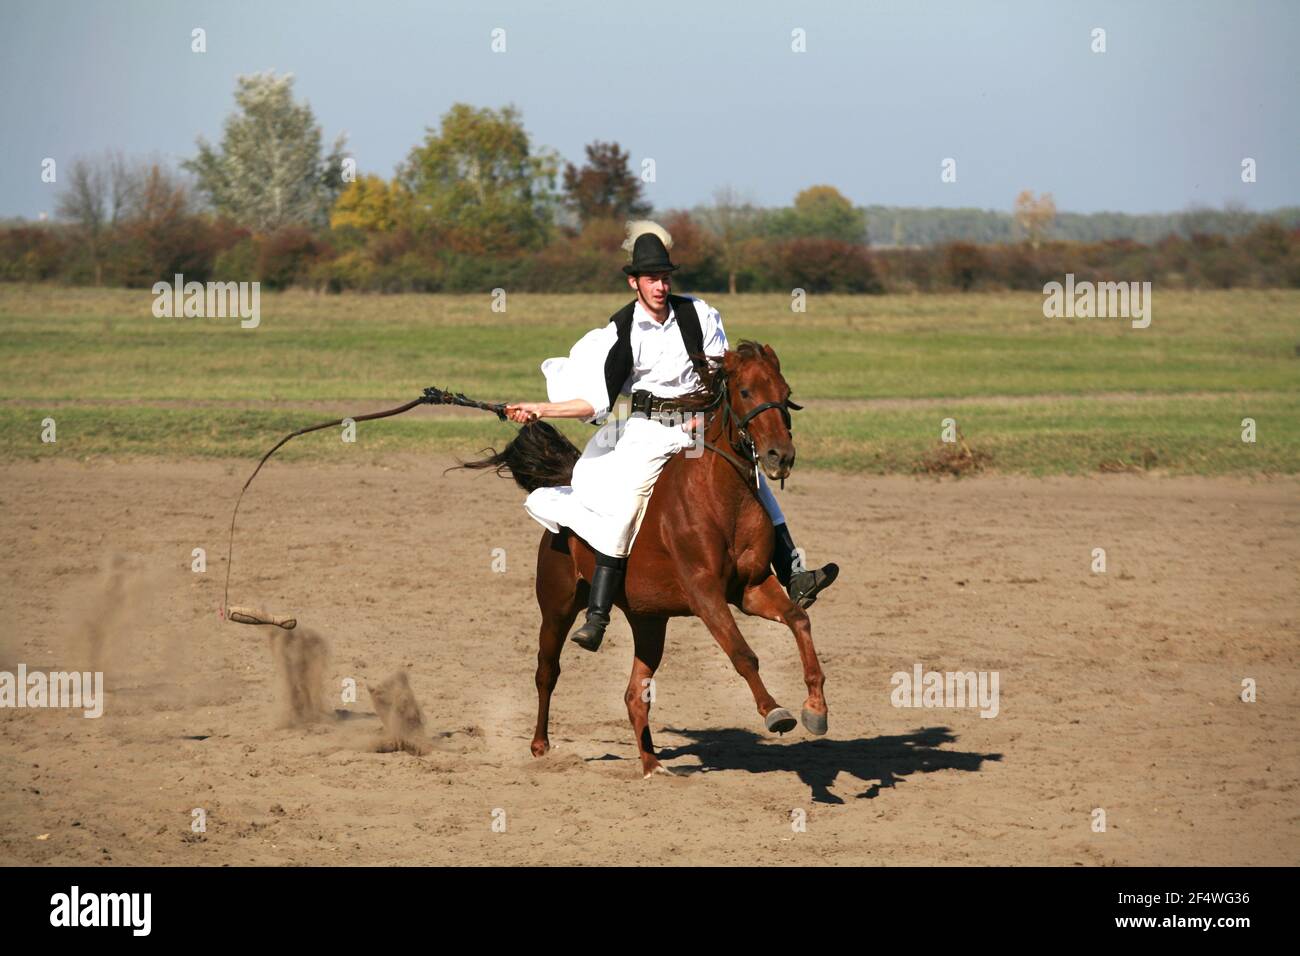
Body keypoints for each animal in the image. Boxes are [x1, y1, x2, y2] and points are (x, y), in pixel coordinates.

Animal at [467, 343, 826, 780]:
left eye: (785, 391)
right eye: (744, 391)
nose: (780, 456)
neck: (721, 499)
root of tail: (569, 485)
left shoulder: (751, 589)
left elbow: (798, 619)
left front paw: (816, 708)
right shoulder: (706, 594)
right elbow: (743, 654)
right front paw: (775, 712)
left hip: (649, 620)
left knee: (633, 695)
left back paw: (652, 764)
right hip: (557, 607)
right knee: (546, 671)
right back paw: (541, 745)